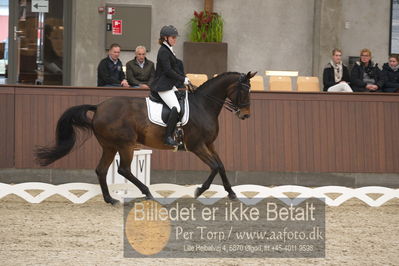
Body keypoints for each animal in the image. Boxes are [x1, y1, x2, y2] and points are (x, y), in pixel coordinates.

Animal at [36, 70, 256, 204]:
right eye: (244, 90)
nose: (246, 115)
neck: (203, 105)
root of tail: (99, 107)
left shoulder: (209, 144)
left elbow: (222, 166)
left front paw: (232, 193)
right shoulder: (197, 146)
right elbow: (215, 167)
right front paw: (199, 191)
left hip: (110, 146)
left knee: (101, 170)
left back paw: (110, 199)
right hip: (125, 145)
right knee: (123, 169)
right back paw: (147, 193)